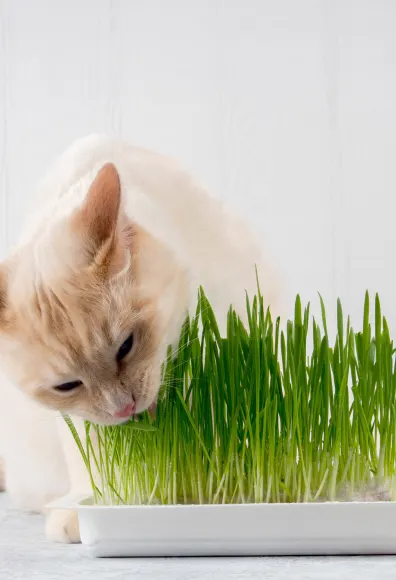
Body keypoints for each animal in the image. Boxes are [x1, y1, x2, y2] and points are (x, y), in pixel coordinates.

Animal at [0, 134, 280, 540]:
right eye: (67, 386)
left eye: (126, 346)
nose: (124, 408)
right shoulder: (80, 419)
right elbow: (94, 463)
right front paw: (89, 511)